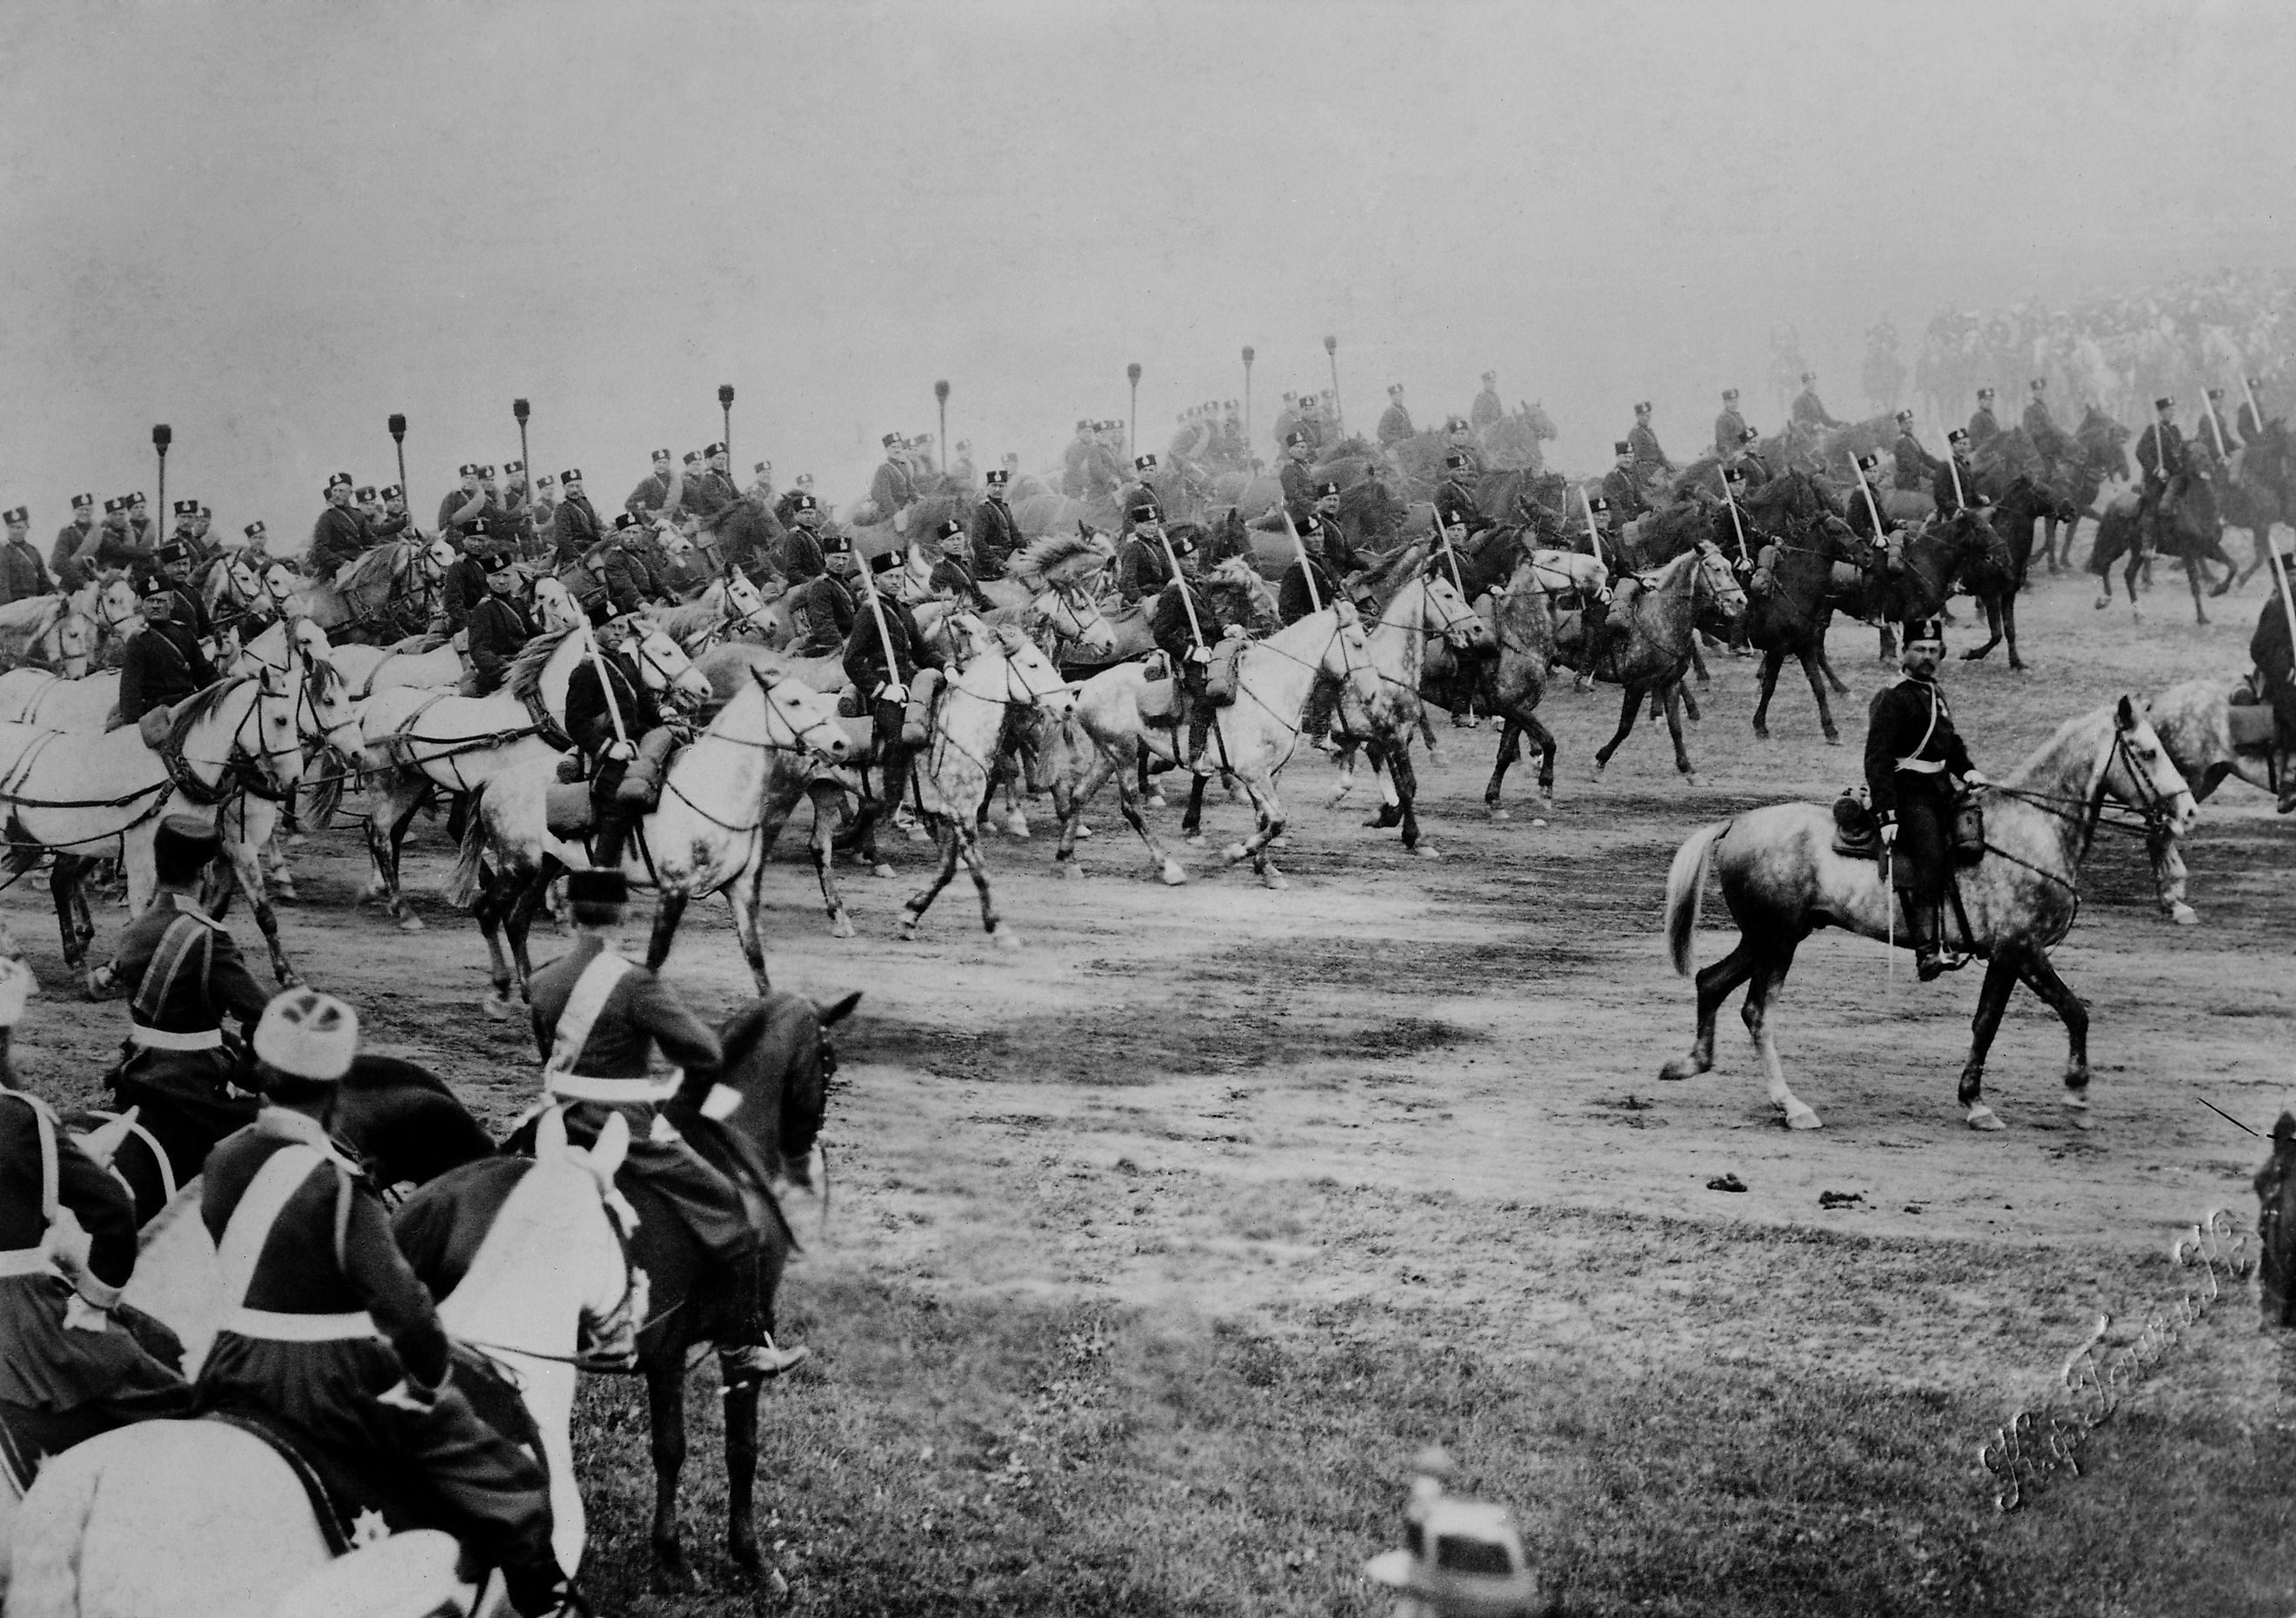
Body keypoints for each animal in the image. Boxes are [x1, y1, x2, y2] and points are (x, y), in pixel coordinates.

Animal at [447, 652, 854, 1005]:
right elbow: (655, 959)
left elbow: (756, 959)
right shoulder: (674, 889)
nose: (842, 743)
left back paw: (529, 989)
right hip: (517, 866)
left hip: (546, 866)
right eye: (794, 702)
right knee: (488, 911)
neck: (714, 789)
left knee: (517, 919)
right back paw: (502, 988)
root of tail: (495, 780)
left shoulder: (741, 889)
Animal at [1056, 601, 1378, 890]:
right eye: (1357, 643)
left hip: (1106, 755)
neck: (1266, 687)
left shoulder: (1269, 773)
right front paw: (1234, 853)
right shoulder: (1252, 772)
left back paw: (1067, 859)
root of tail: (1087, 686)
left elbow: (1264, 819)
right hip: (1122, 754)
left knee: (1079, 796)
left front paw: (1267, 869)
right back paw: (1168, 868)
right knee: (1131, 808)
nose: (1374, 693)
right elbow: (1277, 820)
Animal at [1662, 692, 2194, 1124]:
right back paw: (1791, 1106)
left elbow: (1985, 1023)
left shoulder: (2004, 957)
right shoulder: (2021, 951)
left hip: (1769, 937)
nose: (2188, 811)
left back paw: (1690, 1063)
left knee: (1710, 981)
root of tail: (1735, 823)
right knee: (1757, 1011)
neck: (2034, 828)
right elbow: (2070, 1012)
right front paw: (2077, 1095)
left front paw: (1975, 1101)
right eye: (2148, 751)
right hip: (1776, 941)